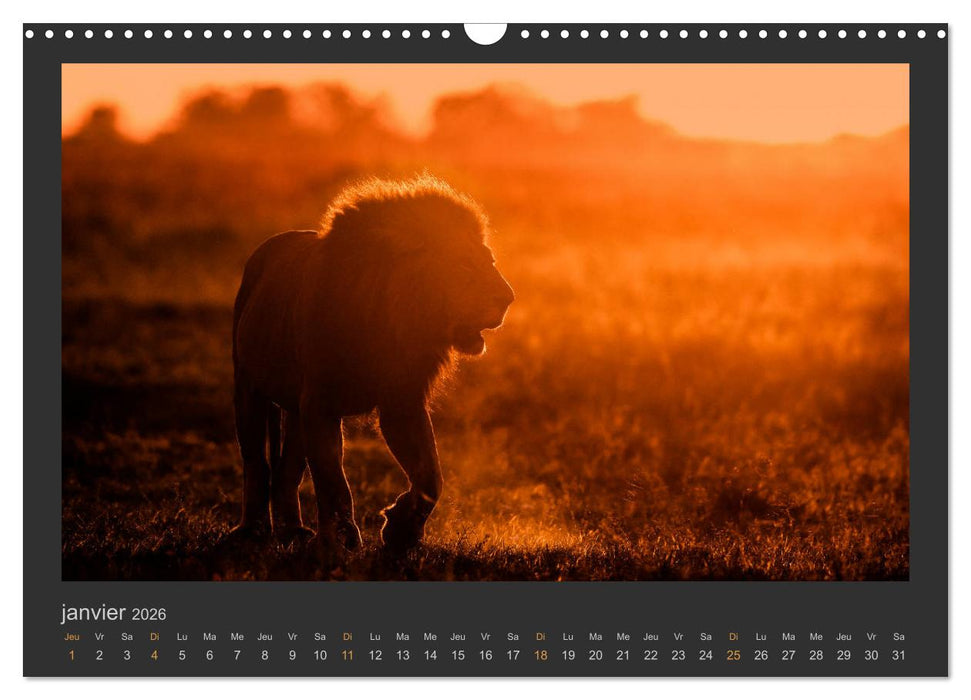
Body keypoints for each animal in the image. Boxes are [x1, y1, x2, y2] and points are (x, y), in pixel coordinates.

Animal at [230, 175, 515, 554]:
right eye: (465, 265)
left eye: (490, 260)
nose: (509, 298)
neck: (391, 318)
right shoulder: (320, 402)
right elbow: (333, 478)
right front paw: (342, 539)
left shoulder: (402, 401)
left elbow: (431, 475)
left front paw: (400, 529)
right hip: (247, 386)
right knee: (256, 462)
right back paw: (253, 529)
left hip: (293, 410)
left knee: (287, 470)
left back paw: (294, 531)